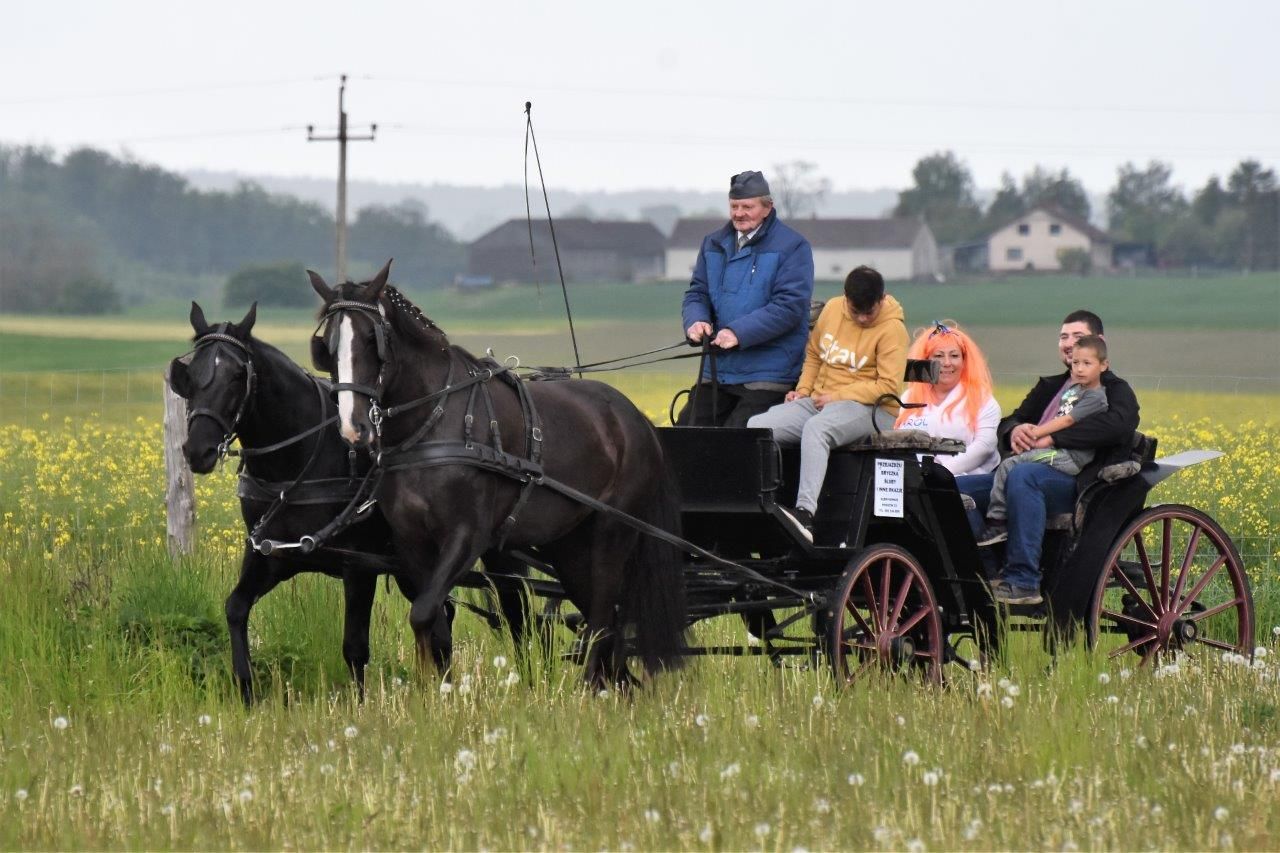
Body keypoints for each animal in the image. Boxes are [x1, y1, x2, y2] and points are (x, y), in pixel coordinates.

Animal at [167, 302, 512, 701]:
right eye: (190, 373)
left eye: (239, 374)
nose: (198, 450)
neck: (301, 460)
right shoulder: (270, 555)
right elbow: (235, 608)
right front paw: (246, 690)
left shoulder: (359, 566)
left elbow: (354, 647)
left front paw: (362, 706)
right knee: (441, 617)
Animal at [308, 258, 686, 686]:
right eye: (328, 347)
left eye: (373, 341)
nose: (354, 427)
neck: (434, 423)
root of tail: (636, 418)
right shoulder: (412, 542)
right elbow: (433, 620)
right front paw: (433, 689)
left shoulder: (468, 536)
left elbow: (423, 613)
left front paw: (430, 686)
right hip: (571, 548)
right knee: (603, 618)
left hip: (610, 532)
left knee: (604, 616)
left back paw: (590, 689)